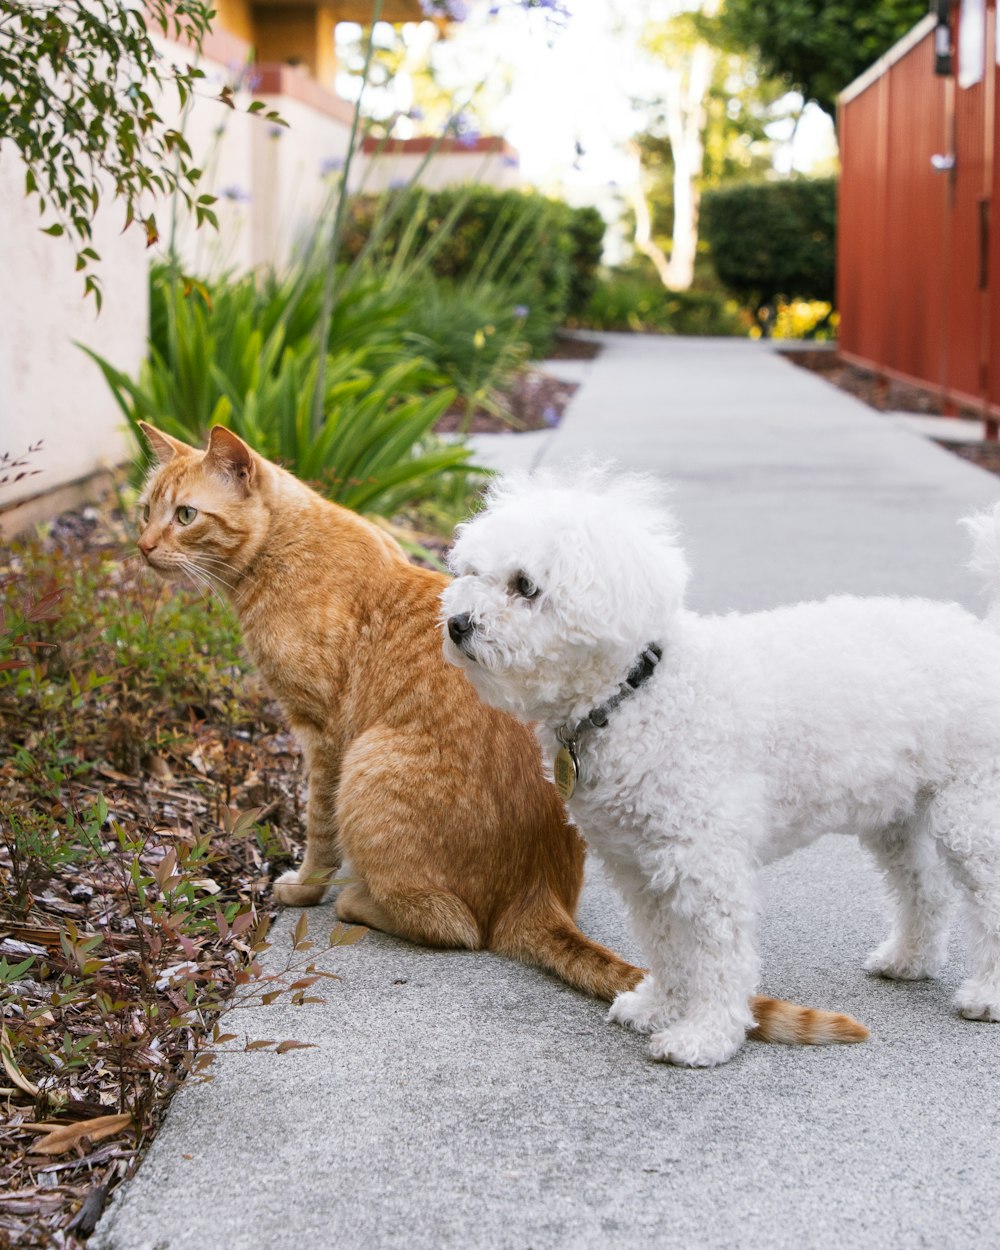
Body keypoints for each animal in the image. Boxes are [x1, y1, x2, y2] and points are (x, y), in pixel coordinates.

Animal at [135, 425, 865, 1050]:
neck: (281, 551)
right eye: (145, 510)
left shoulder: (323, 736)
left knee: (456, 927)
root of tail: (537, 891)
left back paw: (355, 898)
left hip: (372, 761)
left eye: (186, 516)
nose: (141, 547)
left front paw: (303, 885)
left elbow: (317, 826)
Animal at [442, 472, 1000, 1070]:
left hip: (973, 816)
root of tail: (983, 638)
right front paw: (661, 1005)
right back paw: (909, 960)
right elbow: (665, 945)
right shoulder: (639, 865)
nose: (456, 624)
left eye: (525, 586)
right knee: (925, 889)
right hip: (898, 817)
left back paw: (987, 996)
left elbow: (717, 955)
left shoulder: (706, 863)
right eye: (471, 573)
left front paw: (705, 1035)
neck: (638, 692)